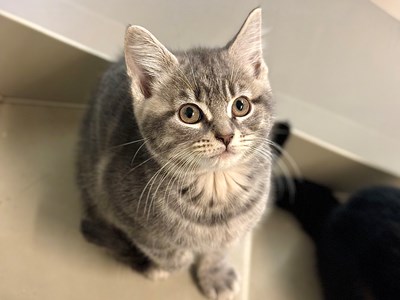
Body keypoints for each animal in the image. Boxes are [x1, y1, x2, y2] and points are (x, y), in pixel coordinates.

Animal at [76, 8, 274, 298]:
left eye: (241, 106)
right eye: (189, 113)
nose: (226, 135)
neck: (216, 187)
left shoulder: (240, 226)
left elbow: (220, 247)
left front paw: (215, 272)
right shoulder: (116, 199)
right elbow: (168, 250)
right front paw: (172, 262)